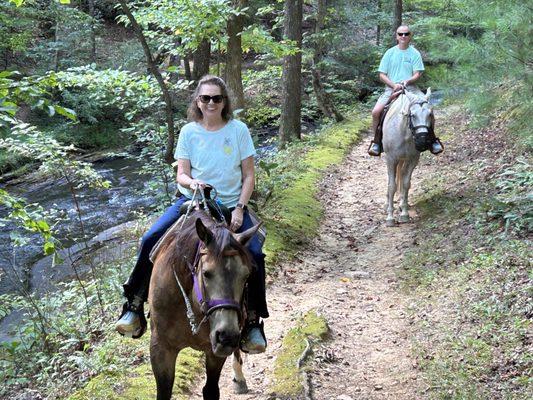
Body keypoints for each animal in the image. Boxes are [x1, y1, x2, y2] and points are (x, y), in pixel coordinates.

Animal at [148, 209, 260, 400]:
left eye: (247, 275)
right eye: (207, 273)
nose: (226, 337)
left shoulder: (215, 350)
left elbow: (211, 390)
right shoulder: (160, 348)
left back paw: (239, 378)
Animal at [380, 88, 430, 227]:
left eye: (430, 114)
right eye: (412, 115)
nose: (422, 141)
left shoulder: (413, 159)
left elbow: (406, 183)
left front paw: (404, 214)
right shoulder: (391, 159)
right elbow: (392, 186)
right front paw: (390, 218)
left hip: (404, 160)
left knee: (402, 176)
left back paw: (402, 203)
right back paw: (388, 204)